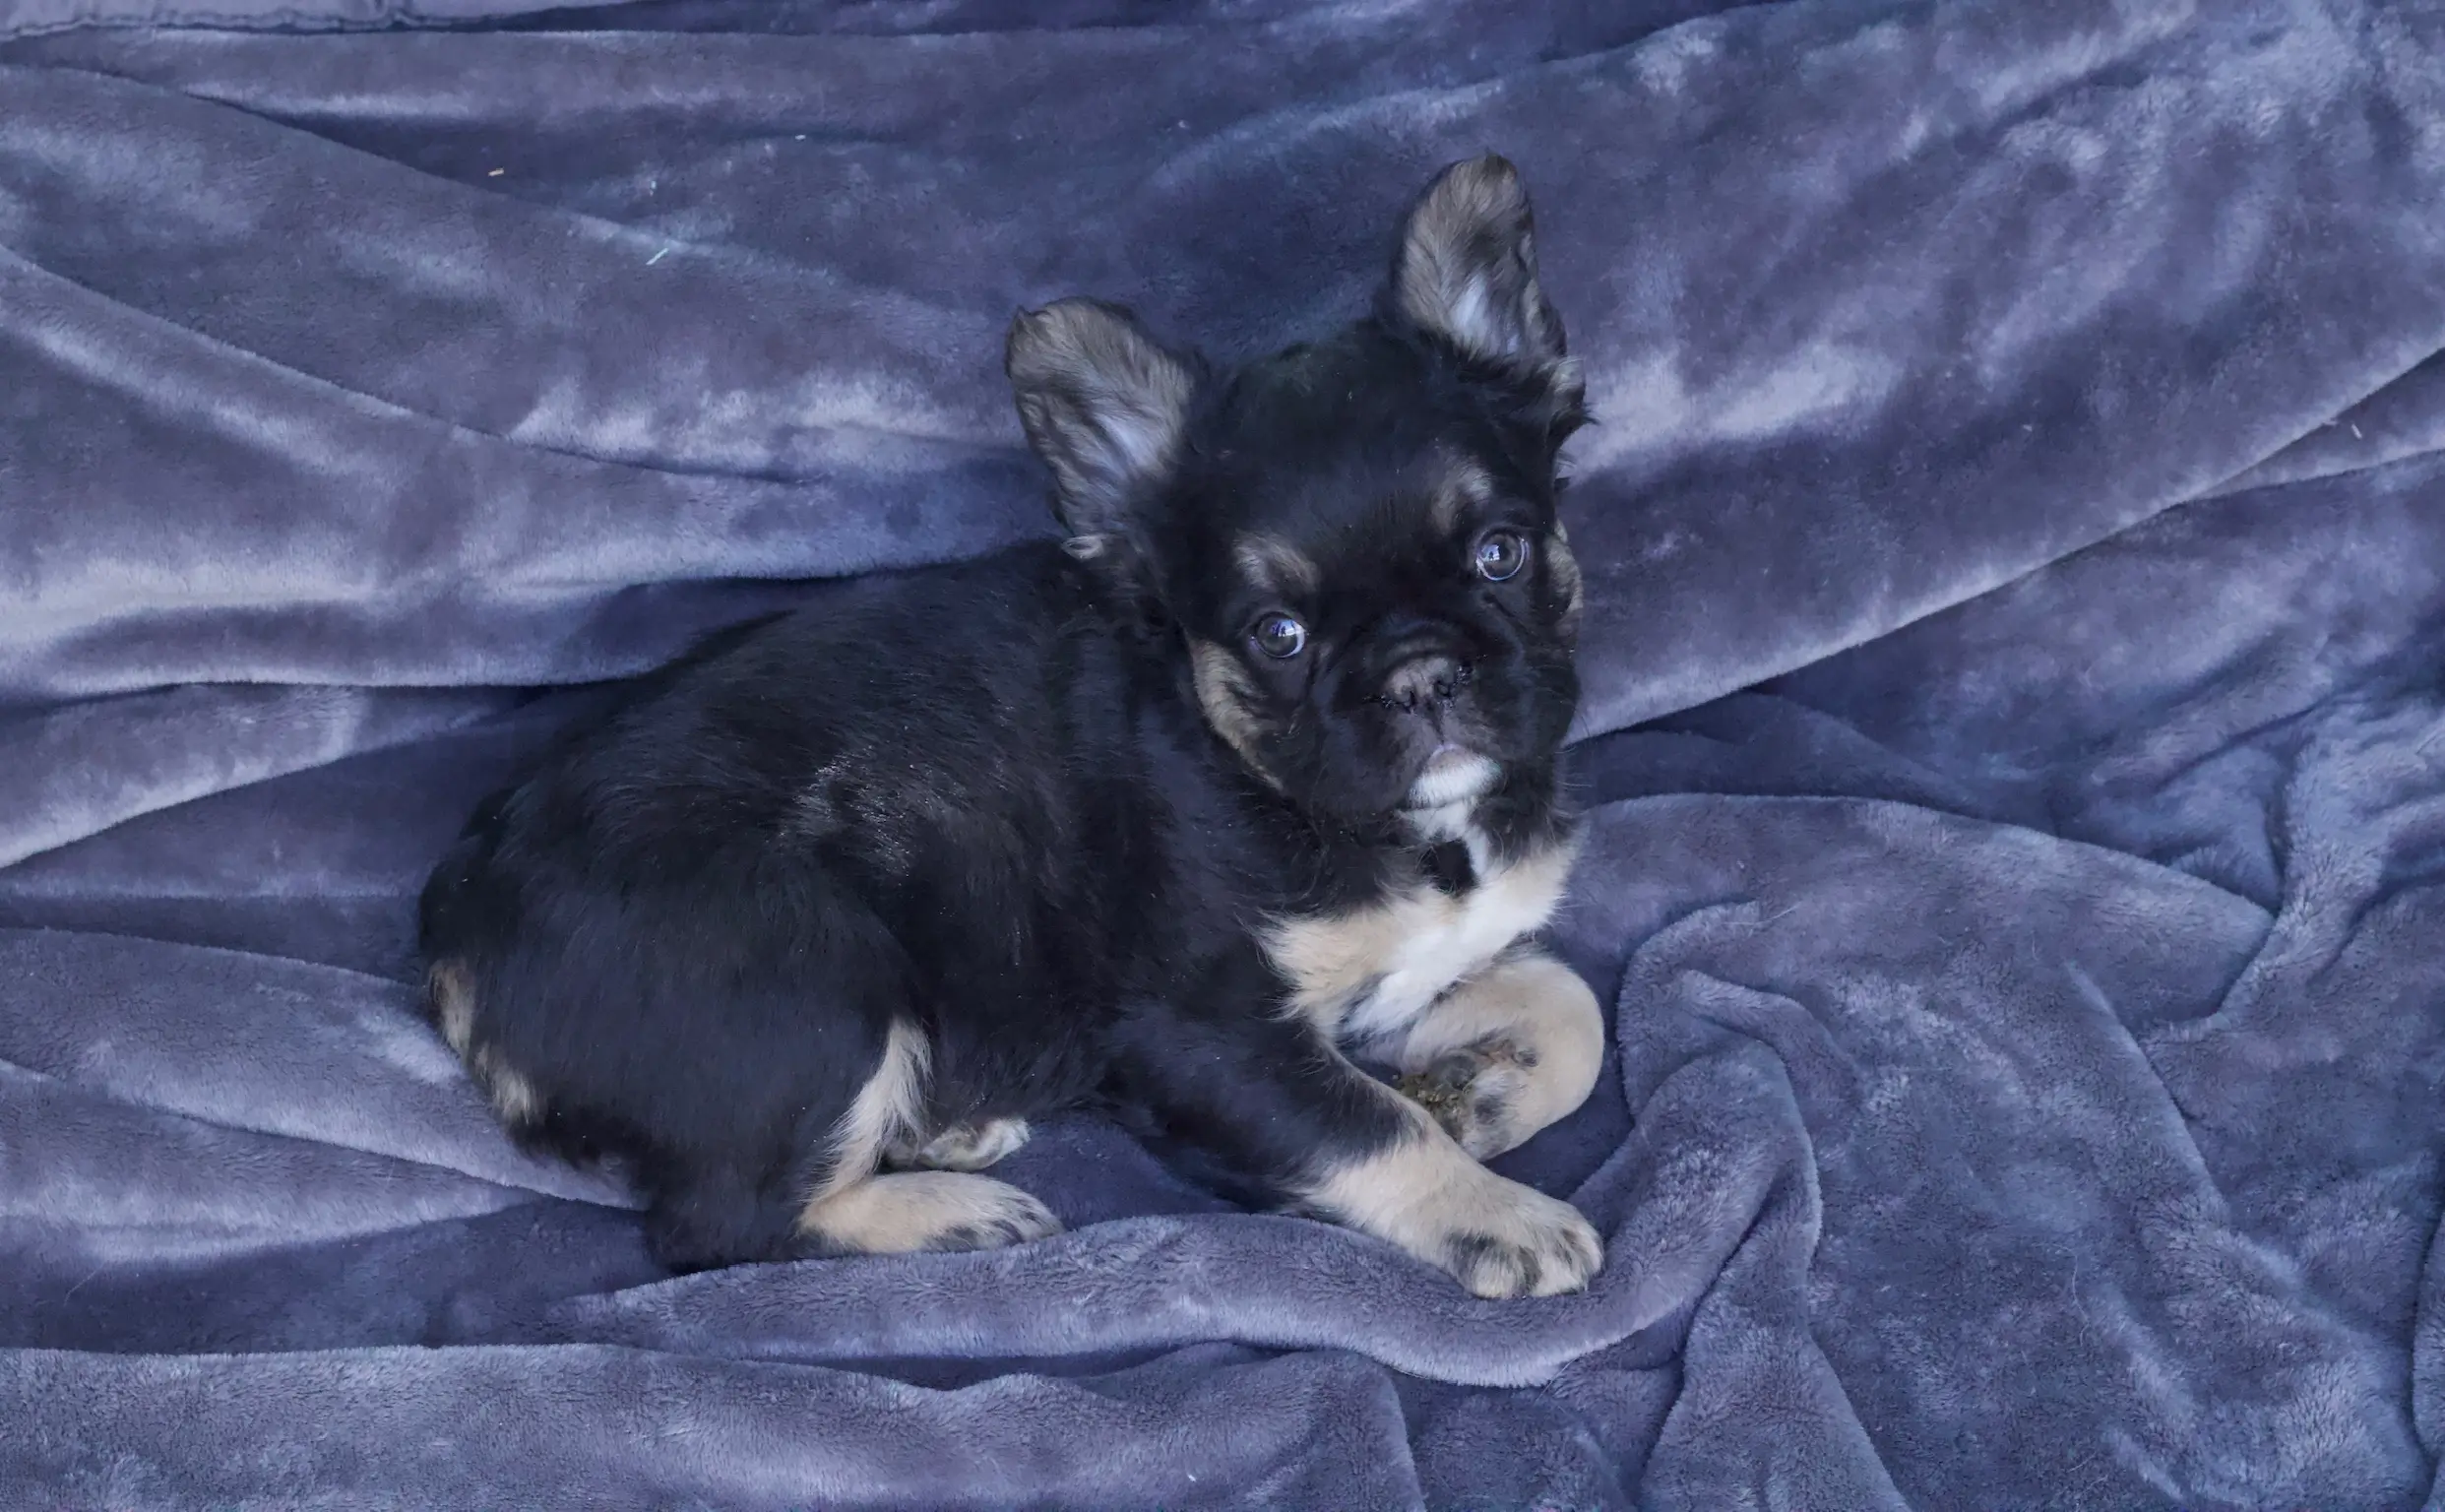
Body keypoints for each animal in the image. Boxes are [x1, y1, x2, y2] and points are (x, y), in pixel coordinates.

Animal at [418, 154, 1605, 1299]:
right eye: (1279, 636)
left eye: (1500, 554)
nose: (1420, 676)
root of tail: (453, 940)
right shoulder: (1211, 1038)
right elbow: (1373, 1127)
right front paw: (1500, 1216)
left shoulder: (1406, 978)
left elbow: (1567, 999)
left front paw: (1483, 1096)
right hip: (819, 981)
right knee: (725, 1223)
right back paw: (948, 1212)